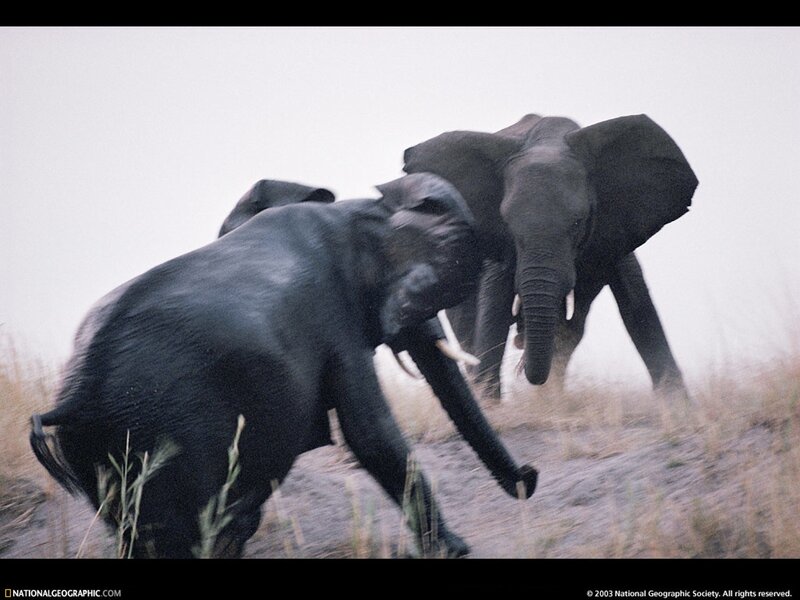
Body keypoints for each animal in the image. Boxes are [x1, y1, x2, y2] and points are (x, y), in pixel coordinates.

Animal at [29, 173, 538, 558]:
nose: (529, 477)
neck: (359, 214)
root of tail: (72, 397)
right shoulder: (332, 311)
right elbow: (370, 432)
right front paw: (457, 550)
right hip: (162, 432)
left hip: (105, 449)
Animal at [403, 114, 699, 399]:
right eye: (507, 223)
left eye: (578, 223)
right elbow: (493, 313)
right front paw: (491, 405)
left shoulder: (615, 226)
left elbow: (638, 307)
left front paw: (677, 406)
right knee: (468, 329)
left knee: (571, 334)